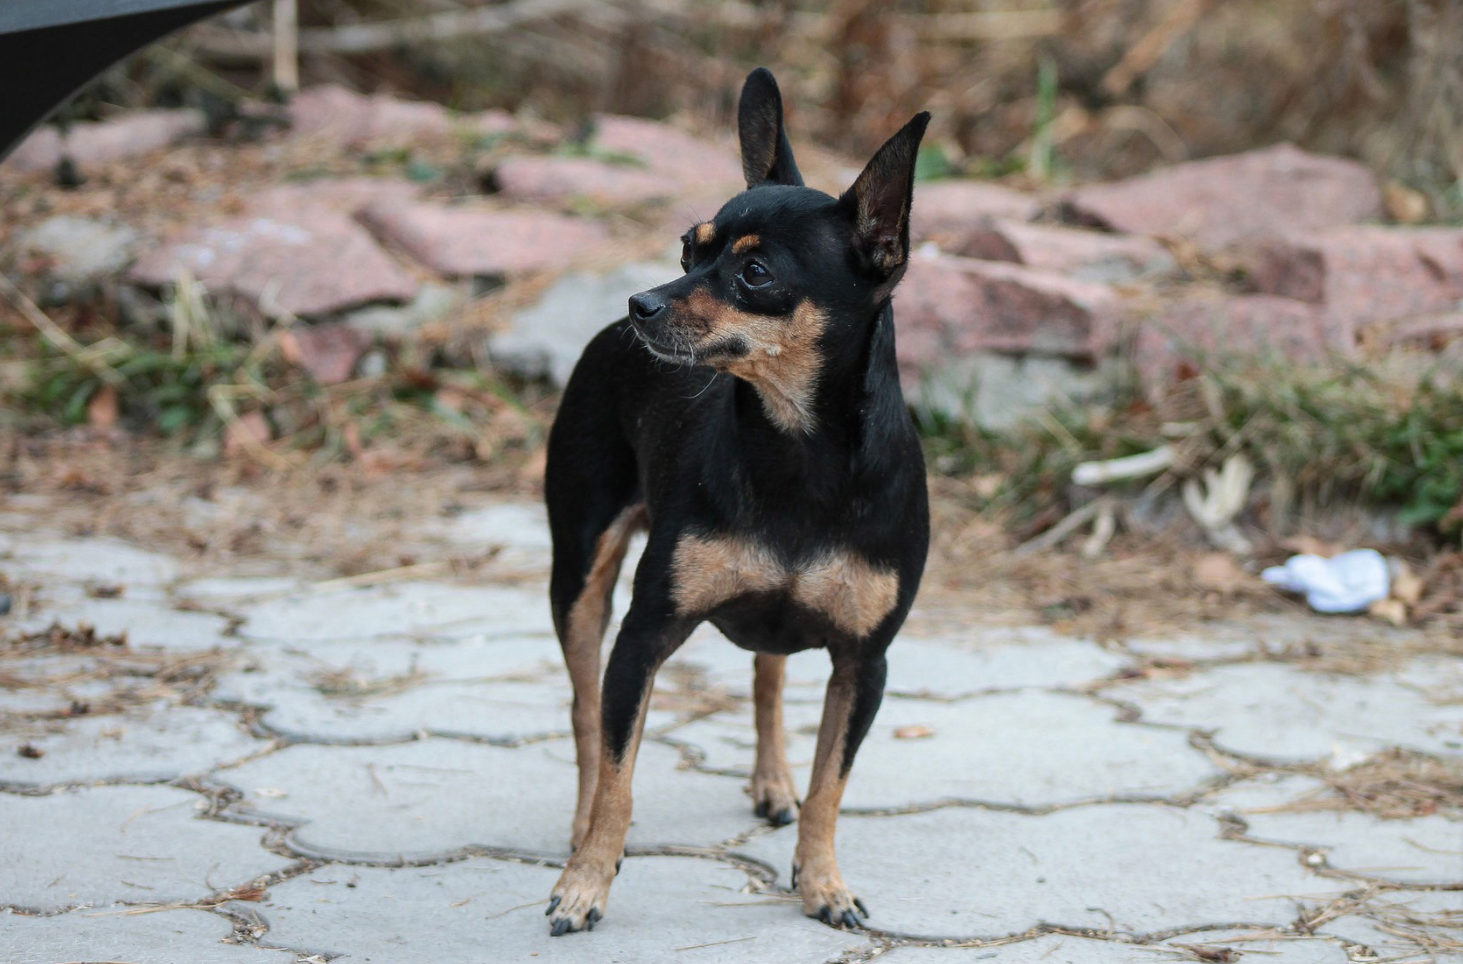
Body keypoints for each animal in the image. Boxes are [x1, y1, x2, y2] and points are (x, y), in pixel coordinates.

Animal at [544, 68, 930, 936]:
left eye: (755, 274)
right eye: (689, 250)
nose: (640, 303)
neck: (796, 451)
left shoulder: (865, 665)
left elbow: (829, 788)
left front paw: (822, 882)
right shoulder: (641, 641)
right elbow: (618, 777)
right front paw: (585, 883)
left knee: (768, 675)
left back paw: (771, 781)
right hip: (578, 573)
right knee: (583, 716)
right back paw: (578, 826)